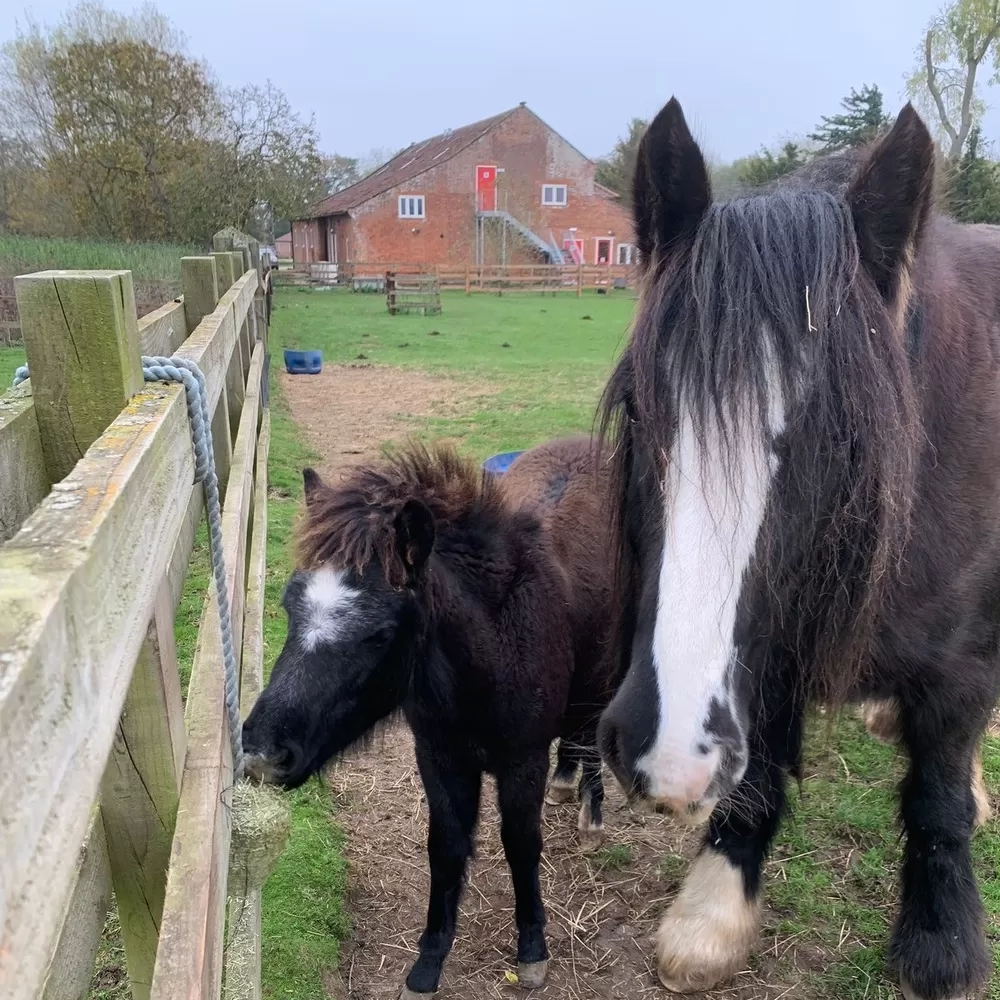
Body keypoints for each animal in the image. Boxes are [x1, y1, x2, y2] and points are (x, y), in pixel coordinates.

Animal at [241, 436, 616, 997]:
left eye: (380, 633)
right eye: (290, 605)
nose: (264, 752)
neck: (493, 649)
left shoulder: (521, 762)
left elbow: (521, 845)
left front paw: (532, 948)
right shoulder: (439, 758)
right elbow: (446, 848)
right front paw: (428, 962)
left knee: (589, 736)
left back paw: (591, 816)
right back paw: (566, 783)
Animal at [596, 98, 1000, 1000]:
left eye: (842, 435)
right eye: (639, 409)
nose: (666, 746)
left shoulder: (960, 667)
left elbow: (938, 797)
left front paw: (941, 944)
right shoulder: (768, 642)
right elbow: (757, 777)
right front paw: (715, 911)